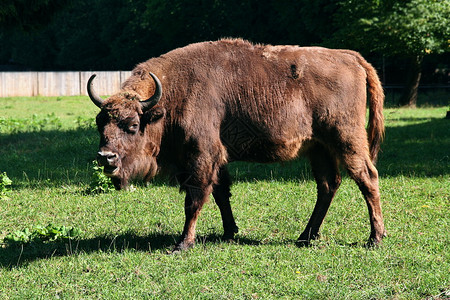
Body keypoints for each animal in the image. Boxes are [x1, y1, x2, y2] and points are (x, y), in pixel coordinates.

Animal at [87, 38, 386, 251]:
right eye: (100, 123)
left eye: (132, 126)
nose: (106, 157)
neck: (170, 98)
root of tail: (351, 57)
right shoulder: (216, 160)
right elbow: (221, 194)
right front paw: (230, 232)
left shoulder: (200, 157)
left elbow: (194, 199)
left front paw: (183, 243)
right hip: (319, 148)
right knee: (328, 186)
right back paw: (305, 237)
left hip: (346, 139)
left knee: (367, 178)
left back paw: (375, 238)